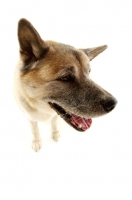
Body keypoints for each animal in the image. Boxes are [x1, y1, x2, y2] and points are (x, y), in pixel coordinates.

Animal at [13, 18, 117, 152]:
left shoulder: (55, 115)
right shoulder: (30, 118)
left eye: (88, 72)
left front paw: (55, 133)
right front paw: (36, 141)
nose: (113, 104)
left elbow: (54, 122)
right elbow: (35, 130)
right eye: (66, 77)